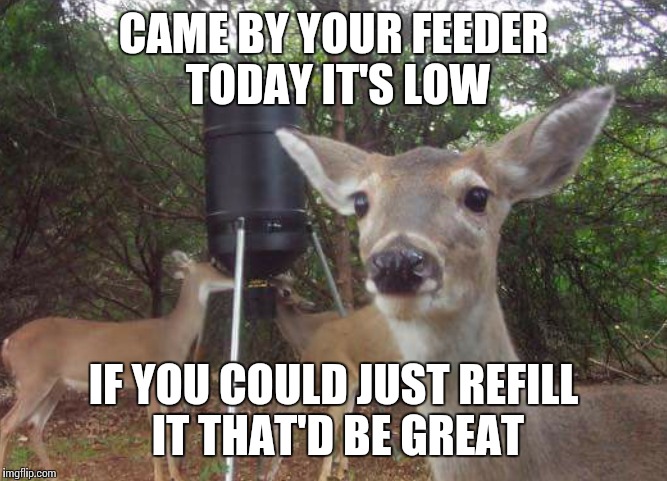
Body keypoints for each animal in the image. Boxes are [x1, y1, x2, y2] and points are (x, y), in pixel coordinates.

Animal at [0, 251, 234, 481]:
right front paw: (161, 477)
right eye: (215, 266)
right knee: (7, 424)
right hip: (34, 379)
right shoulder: (151, 382)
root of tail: (8, 342)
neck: (173, 335)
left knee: (33, 427)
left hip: (55, 385)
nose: (234, 280)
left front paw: (176, 476)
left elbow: (167, 429)